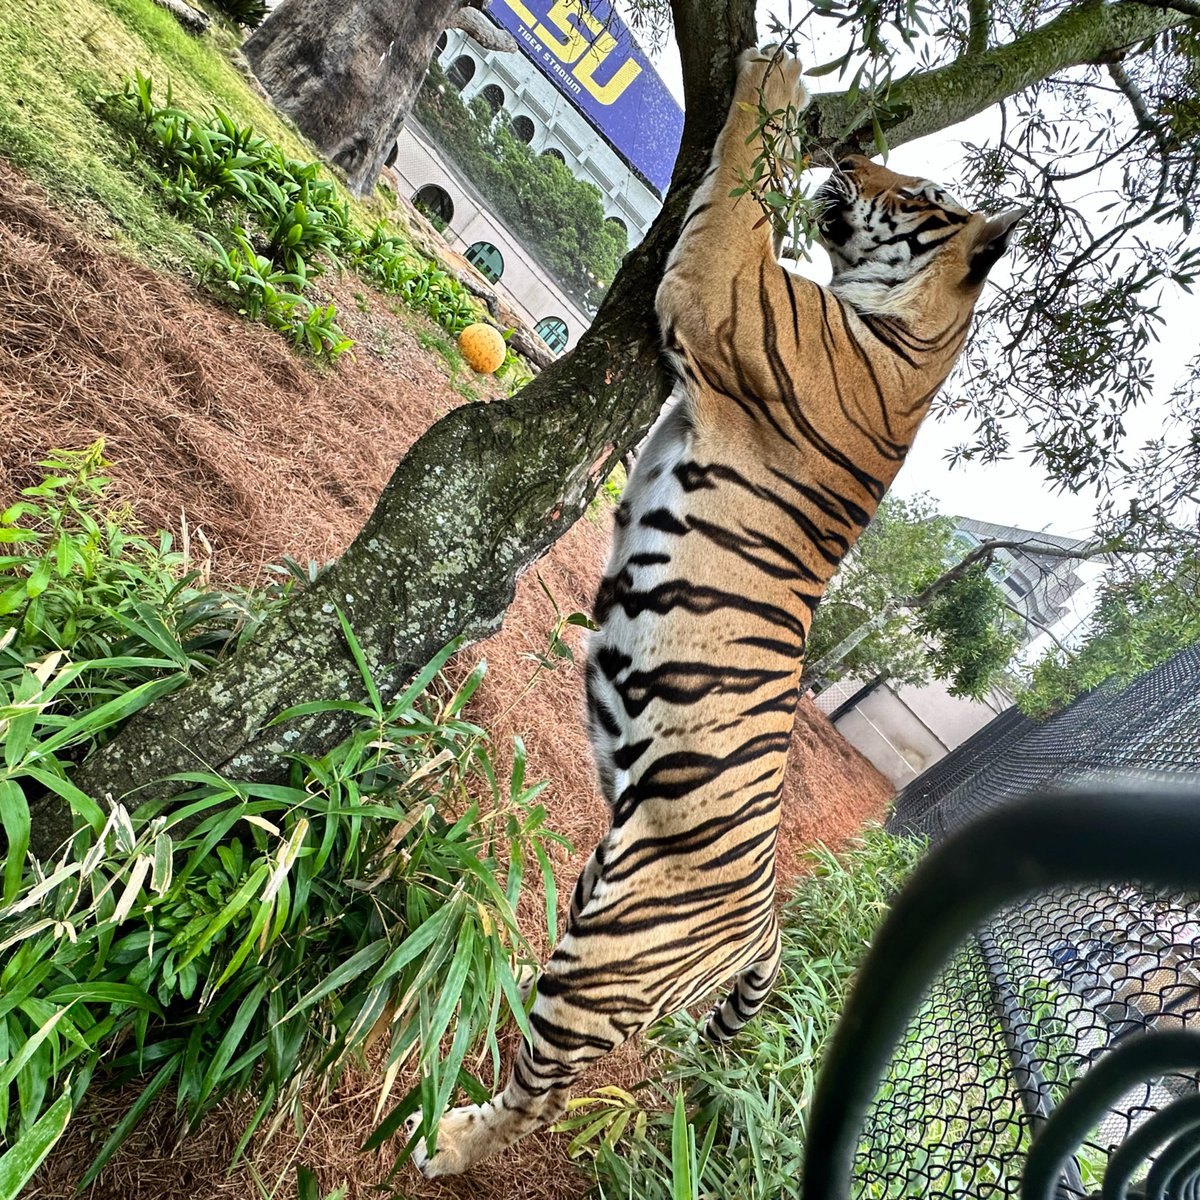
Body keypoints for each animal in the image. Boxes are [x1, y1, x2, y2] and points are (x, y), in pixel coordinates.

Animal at [410, 49, 1022, 1180]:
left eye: (916, 191)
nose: (856, 157)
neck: (916, 338)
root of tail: (761, 921)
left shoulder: (723, 282)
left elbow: (743, 173)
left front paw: (778, 75)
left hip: (607, 958)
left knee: (543, 1093)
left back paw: (450, 1139)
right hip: (599, 887)